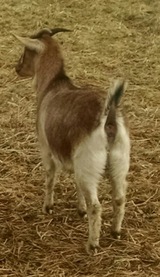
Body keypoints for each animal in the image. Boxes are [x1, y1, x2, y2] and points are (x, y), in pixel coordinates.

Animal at [13, 28, 130, 252]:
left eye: (26, 51)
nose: (17, 68)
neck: (52, 84)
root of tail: (108, 120)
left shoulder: (46, 148)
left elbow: (50, 178)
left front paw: (48, 207)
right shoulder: (76, 162)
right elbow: (76, 185)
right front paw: (79, 209)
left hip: (90, 166)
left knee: (96, 206)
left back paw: (92, 244)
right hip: (118, 163)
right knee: (119, 198)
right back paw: (116, 231)